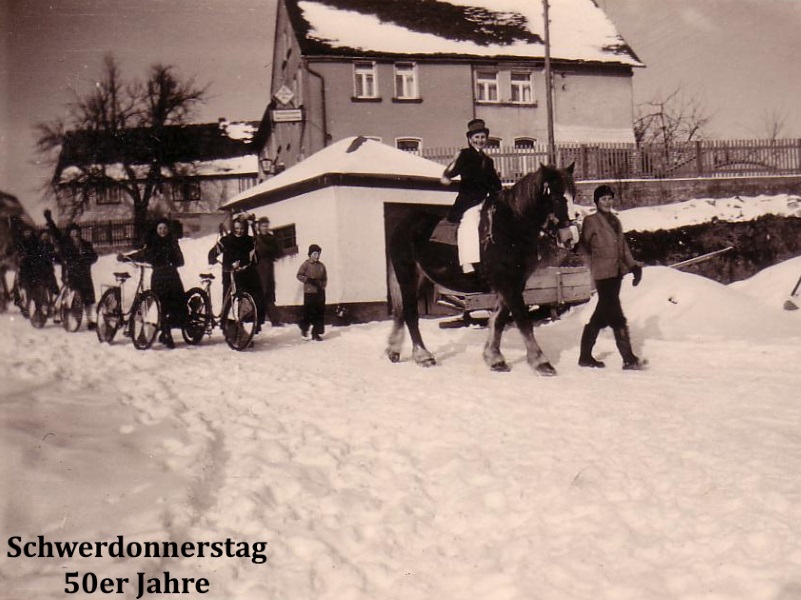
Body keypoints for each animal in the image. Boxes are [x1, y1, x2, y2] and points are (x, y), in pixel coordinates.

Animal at [386, 163, 576, 376]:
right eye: (557, 197)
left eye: (573, 195)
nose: (569, 237)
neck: (509, 229)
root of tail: (403, 224)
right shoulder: (507, 283)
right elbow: (523, 321)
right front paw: (541, 362)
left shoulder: (512, 284)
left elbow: (499, 319)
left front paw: (495, 358)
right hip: (407, 276)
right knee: (410, 313)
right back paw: (423, 356)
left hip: (420, 279)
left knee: (403, 312)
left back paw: (394, 350)